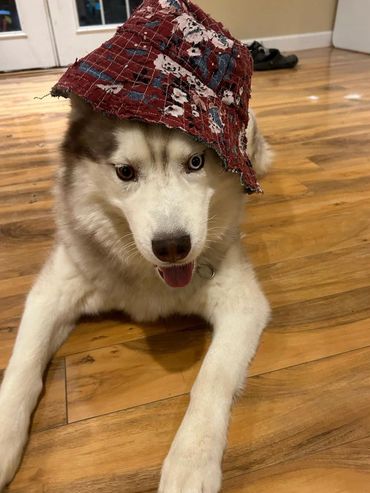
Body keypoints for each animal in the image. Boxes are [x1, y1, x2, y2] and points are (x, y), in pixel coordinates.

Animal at [0, 97, 272, 492]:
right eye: (125, 172)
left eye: (196, 163)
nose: (172, 246)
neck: (152, 277)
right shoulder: (54, 289)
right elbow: (24, 362)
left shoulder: (243, 303)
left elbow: (211, 379)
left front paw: (191, 462)